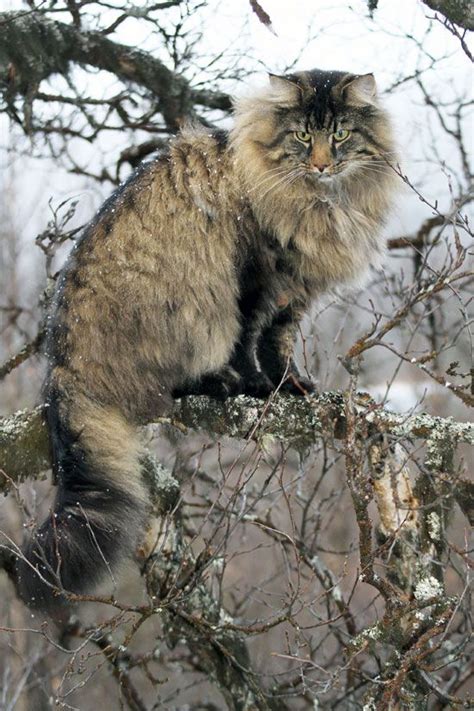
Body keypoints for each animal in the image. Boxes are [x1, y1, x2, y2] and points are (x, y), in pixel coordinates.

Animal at [16, 68, 396, 612]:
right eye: (304, 137)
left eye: (341, 134)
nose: (323, 163)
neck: (319, 203)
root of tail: (60, 364)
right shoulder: (257, 278)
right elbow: (249, 339)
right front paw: (257, 386)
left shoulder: (294, 294)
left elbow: (278, 344)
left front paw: (291, 386)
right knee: (173, 384)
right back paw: (217, 383)